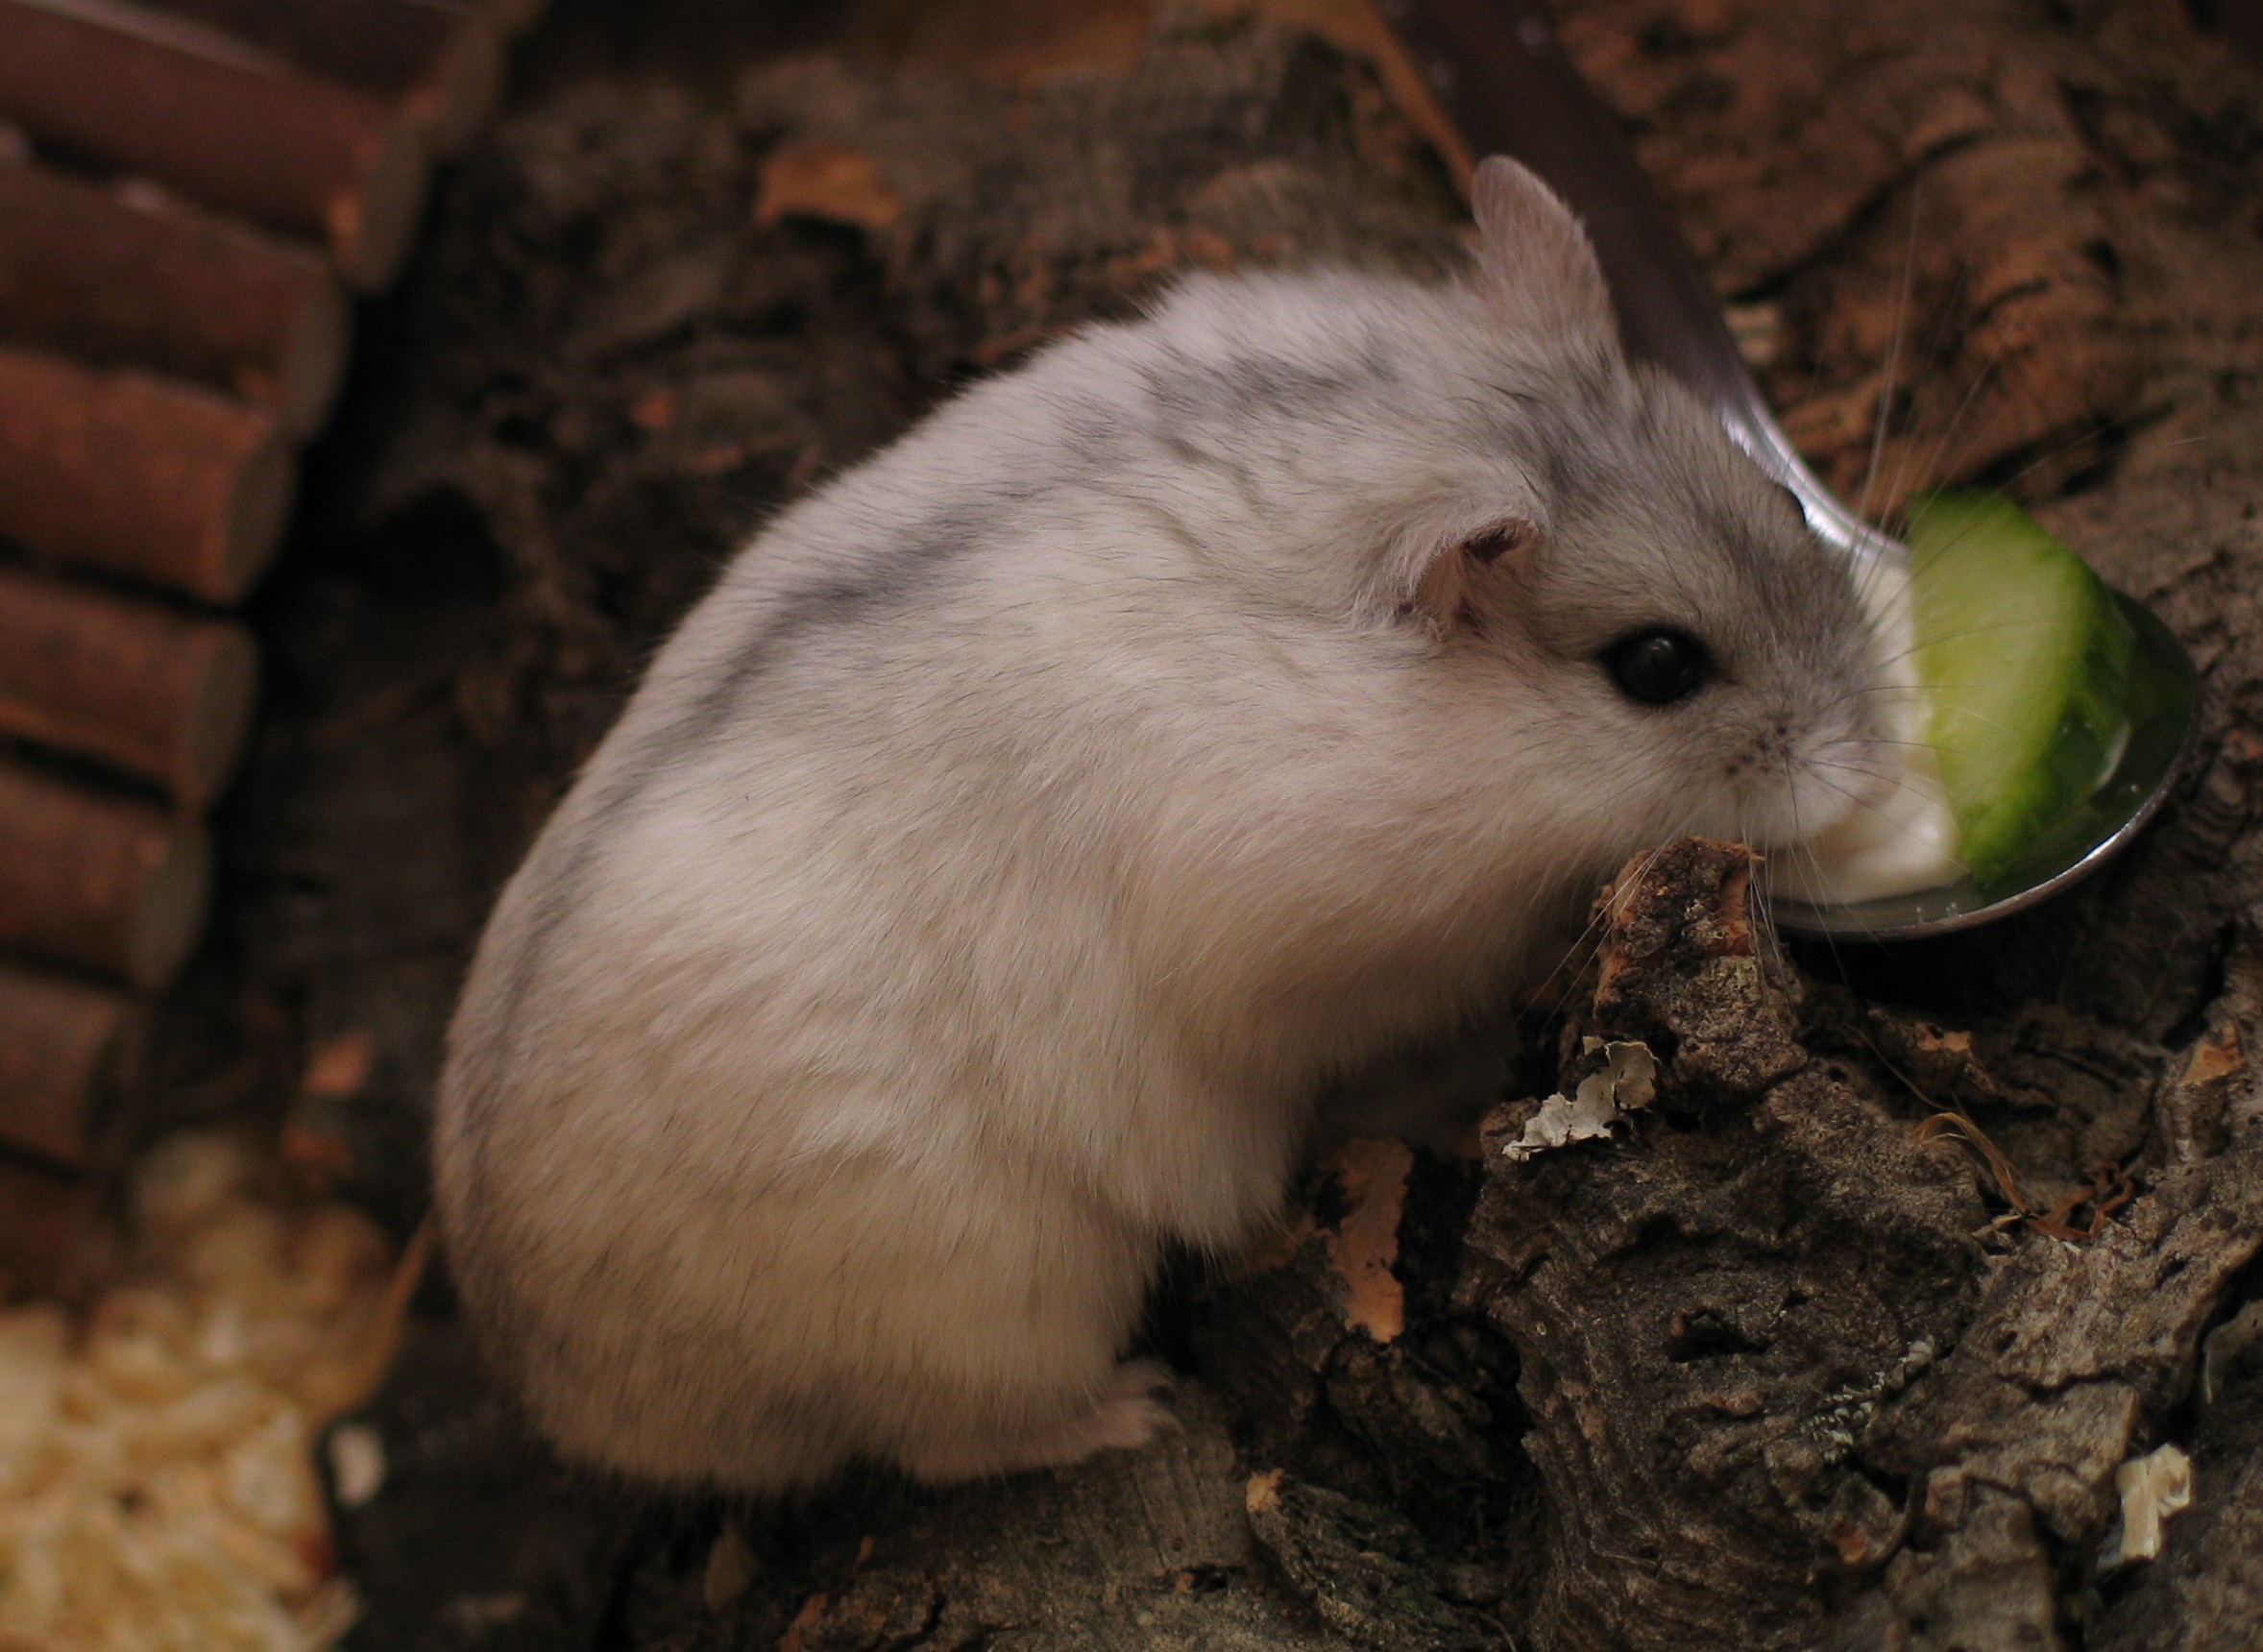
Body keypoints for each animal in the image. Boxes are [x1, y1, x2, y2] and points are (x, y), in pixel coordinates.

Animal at [427, 157, 1891, 1494]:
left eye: (1778, 503)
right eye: (1657, 666)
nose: (1876, 767)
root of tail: (556, 1390)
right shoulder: (1331, 962)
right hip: (989, 1305)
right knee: (950, 1442)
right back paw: (1136, 1411)